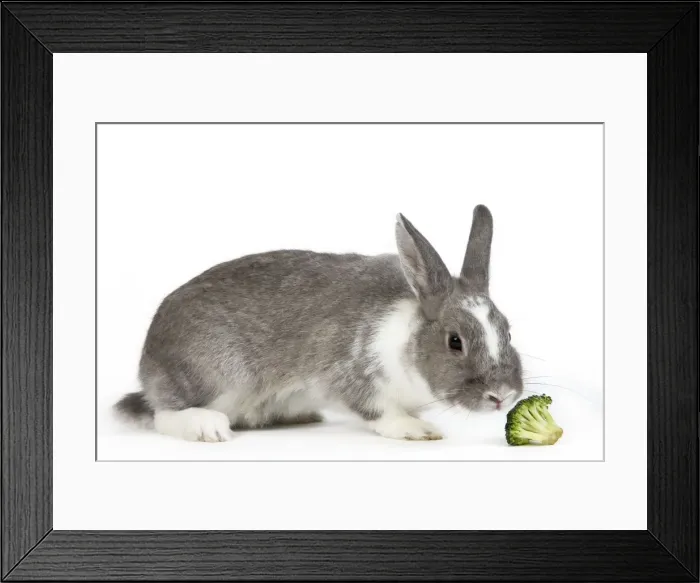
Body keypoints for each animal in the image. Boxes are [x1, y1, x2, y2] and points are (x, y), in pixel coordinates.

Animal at [114, 205, 523, 442]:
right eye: (455, 341)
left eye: (507, 330)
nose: (501, 396)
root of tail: (149, 368)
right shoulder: (351, 376)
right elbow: (379, 411)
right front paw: (417, 429)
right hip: (212, 376)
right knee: (163, 414)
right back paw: (207, 427)